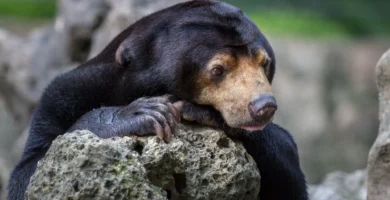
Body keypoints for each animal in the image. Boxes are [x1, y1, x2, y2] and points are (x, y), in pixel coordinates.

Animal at [7, 0, 308, 199]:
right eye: (217, 70)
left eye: (264, 63)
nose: (263, 106)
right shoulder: (61, 95)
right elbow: (31, 172)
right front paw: (143, 114)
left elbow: (287, 160)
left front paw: (198, 111)